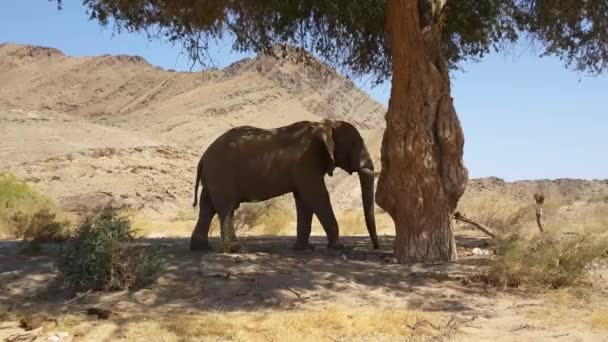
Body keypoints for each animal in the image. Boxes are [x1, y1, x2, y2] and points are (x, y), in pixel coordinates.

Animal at [190, 119, 380, 251]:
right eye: (354, 144)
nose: (376, 247)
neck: (323, 125)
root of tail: (203, 157)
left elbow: (304, 201)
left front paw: (304, 249)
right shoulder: (306, 162)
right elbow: (317, 196)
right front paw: (339, 247)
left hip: (213, 177)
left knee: (207, 208)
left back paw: (201, 249)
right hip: (221, 174)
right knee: (227, 208)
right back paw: (237, 250)